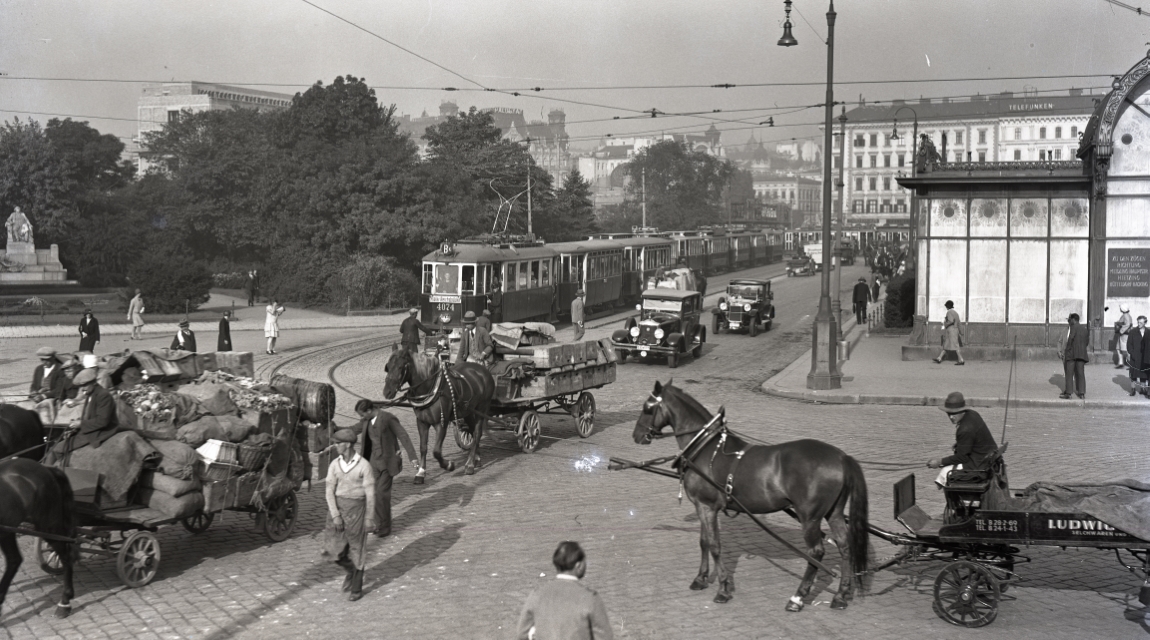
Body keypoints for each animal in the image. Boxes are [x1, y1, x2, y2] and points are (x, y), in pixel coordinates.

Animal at [0, 457, 77, 615]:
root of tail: (46, 469)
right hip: (8, 531)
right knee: (14, 560)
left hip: (48, 527)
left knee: (66, 555)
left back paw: (64, 602)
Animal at [384, 344, 496, 477]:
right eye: (387, 367)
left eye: (401, 367)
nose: (387, 392)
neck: (431, 388)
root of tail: (482, 369)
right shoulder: (422, 422)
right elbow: (423, 447)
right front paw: (421, 472)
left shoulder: (441, 423)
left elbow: (436, 451)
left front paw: (449, 465)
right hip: (468, 411)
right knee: (473, 431)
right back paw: (476, 459)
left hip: (482, 408)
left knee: (478, 432)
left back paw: (469, 464)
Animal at [634, 381, 864, 611]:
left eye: (647, 407)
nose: (636, 435)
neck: (704, 447)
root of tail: (841, 457)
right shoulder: (701, 506)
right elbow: (704, 542)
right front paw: (700, 579)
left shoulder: (707, 506)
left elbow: (715, 545)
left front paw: (723, 589)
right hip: (834, 513)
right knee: (845, 546)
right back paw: (841, 595)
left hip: (810, 518)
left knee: (816, 552)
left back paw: (798, 597)